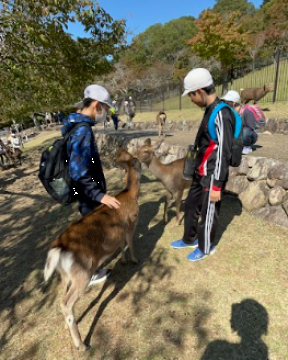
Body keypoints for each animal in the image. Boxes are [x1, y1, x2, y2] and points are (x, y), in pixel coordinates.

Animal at [43, 148, 141, 352]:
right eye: (139, 162)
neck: (131, 195)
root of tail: (58, 248)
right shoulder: (131, 224)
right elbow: (130, 243)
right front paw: (135, 260)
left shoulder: (120, 231)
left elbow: (121, 245)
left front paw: (124, 261)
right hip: (82, 272)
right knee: (67, 303)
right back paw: (81, 344)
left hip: (64, 274)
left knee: (61, 298)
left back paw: (67, 328)